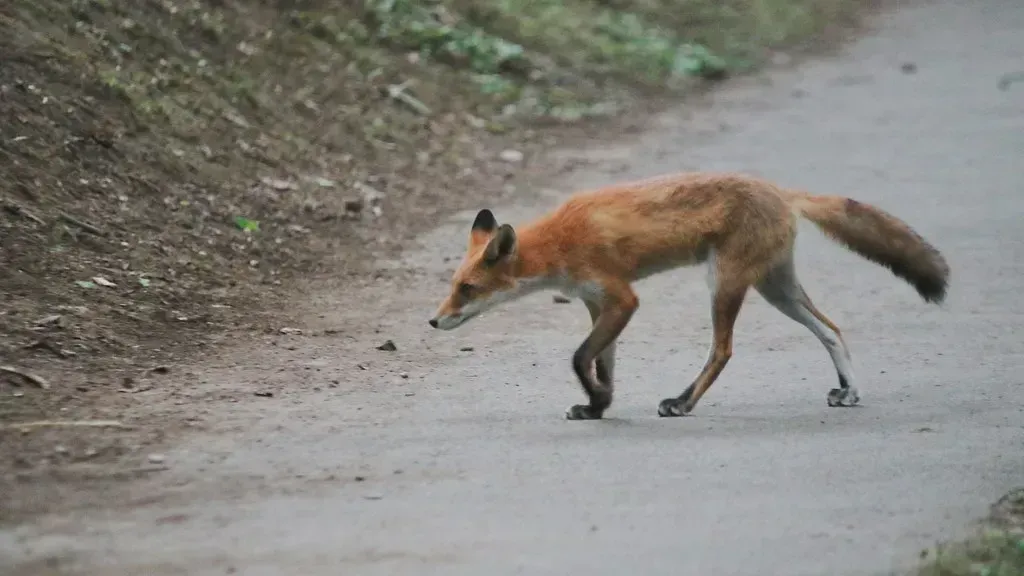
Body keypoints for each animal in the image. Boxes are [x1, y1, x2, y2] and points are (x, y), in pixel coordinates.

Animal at [428, 171, 949, 420]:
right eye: (451, 287)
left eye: (467, 289)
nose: (433, 321)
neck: (559, 242)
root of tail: (779, 191)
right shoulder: (599, 304)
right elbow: (601, 363)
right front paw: (599, 405)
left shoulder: (622, 298)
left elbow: (578, 358)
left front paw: (596, 400)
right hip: (776, 289)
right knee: (832, 330)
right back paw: (850, 392)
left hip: (725, 284)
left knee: (722, 350)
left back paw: (682, 402)